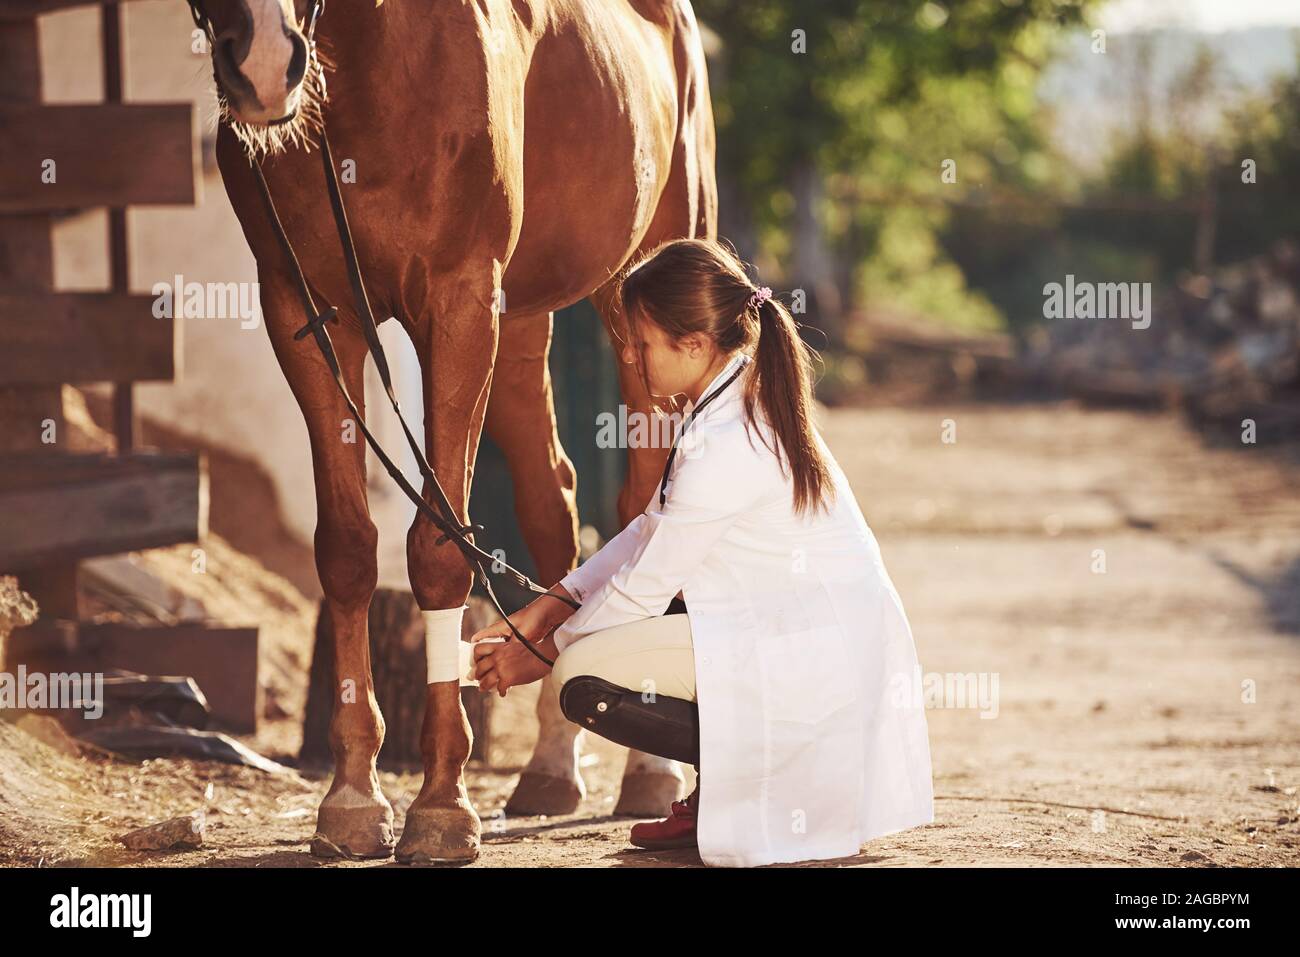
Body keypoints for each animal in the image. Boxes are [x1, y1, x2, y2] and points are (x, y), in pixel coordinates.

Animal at [197, 0, 717, 863]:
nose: (263, 64)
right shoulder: (305, 312)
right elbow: (347, 548)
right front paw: (352, 797)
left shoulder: (461, 303)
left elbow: (440, 547)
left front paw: (441, 802)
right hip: (526, 317)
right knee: (552, 498)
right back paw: (550, 766)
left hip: (639, 291)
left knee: (645, 499)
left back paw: (650, 770)